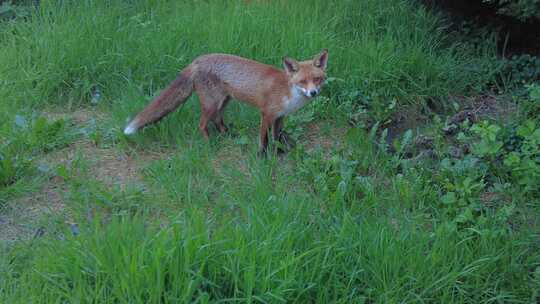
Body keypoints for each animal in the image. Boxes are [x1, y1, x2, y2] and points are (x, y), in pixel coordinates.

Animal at [124, 50, 330, 154]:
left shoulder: (279, 117)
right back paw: (209, 144)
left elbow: (277, 136)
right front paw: (262, 156)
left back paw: (227, 134)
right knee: (202, 124)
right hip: (211, 104)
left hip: (224, 101)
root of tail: (197, 61)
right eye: (302, 81)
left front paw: (279, 151)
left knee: (217, 120)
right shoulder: (266, 114)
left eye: (317, 79)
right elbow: (263, 139)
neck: (288, 92)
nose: (313, 92)